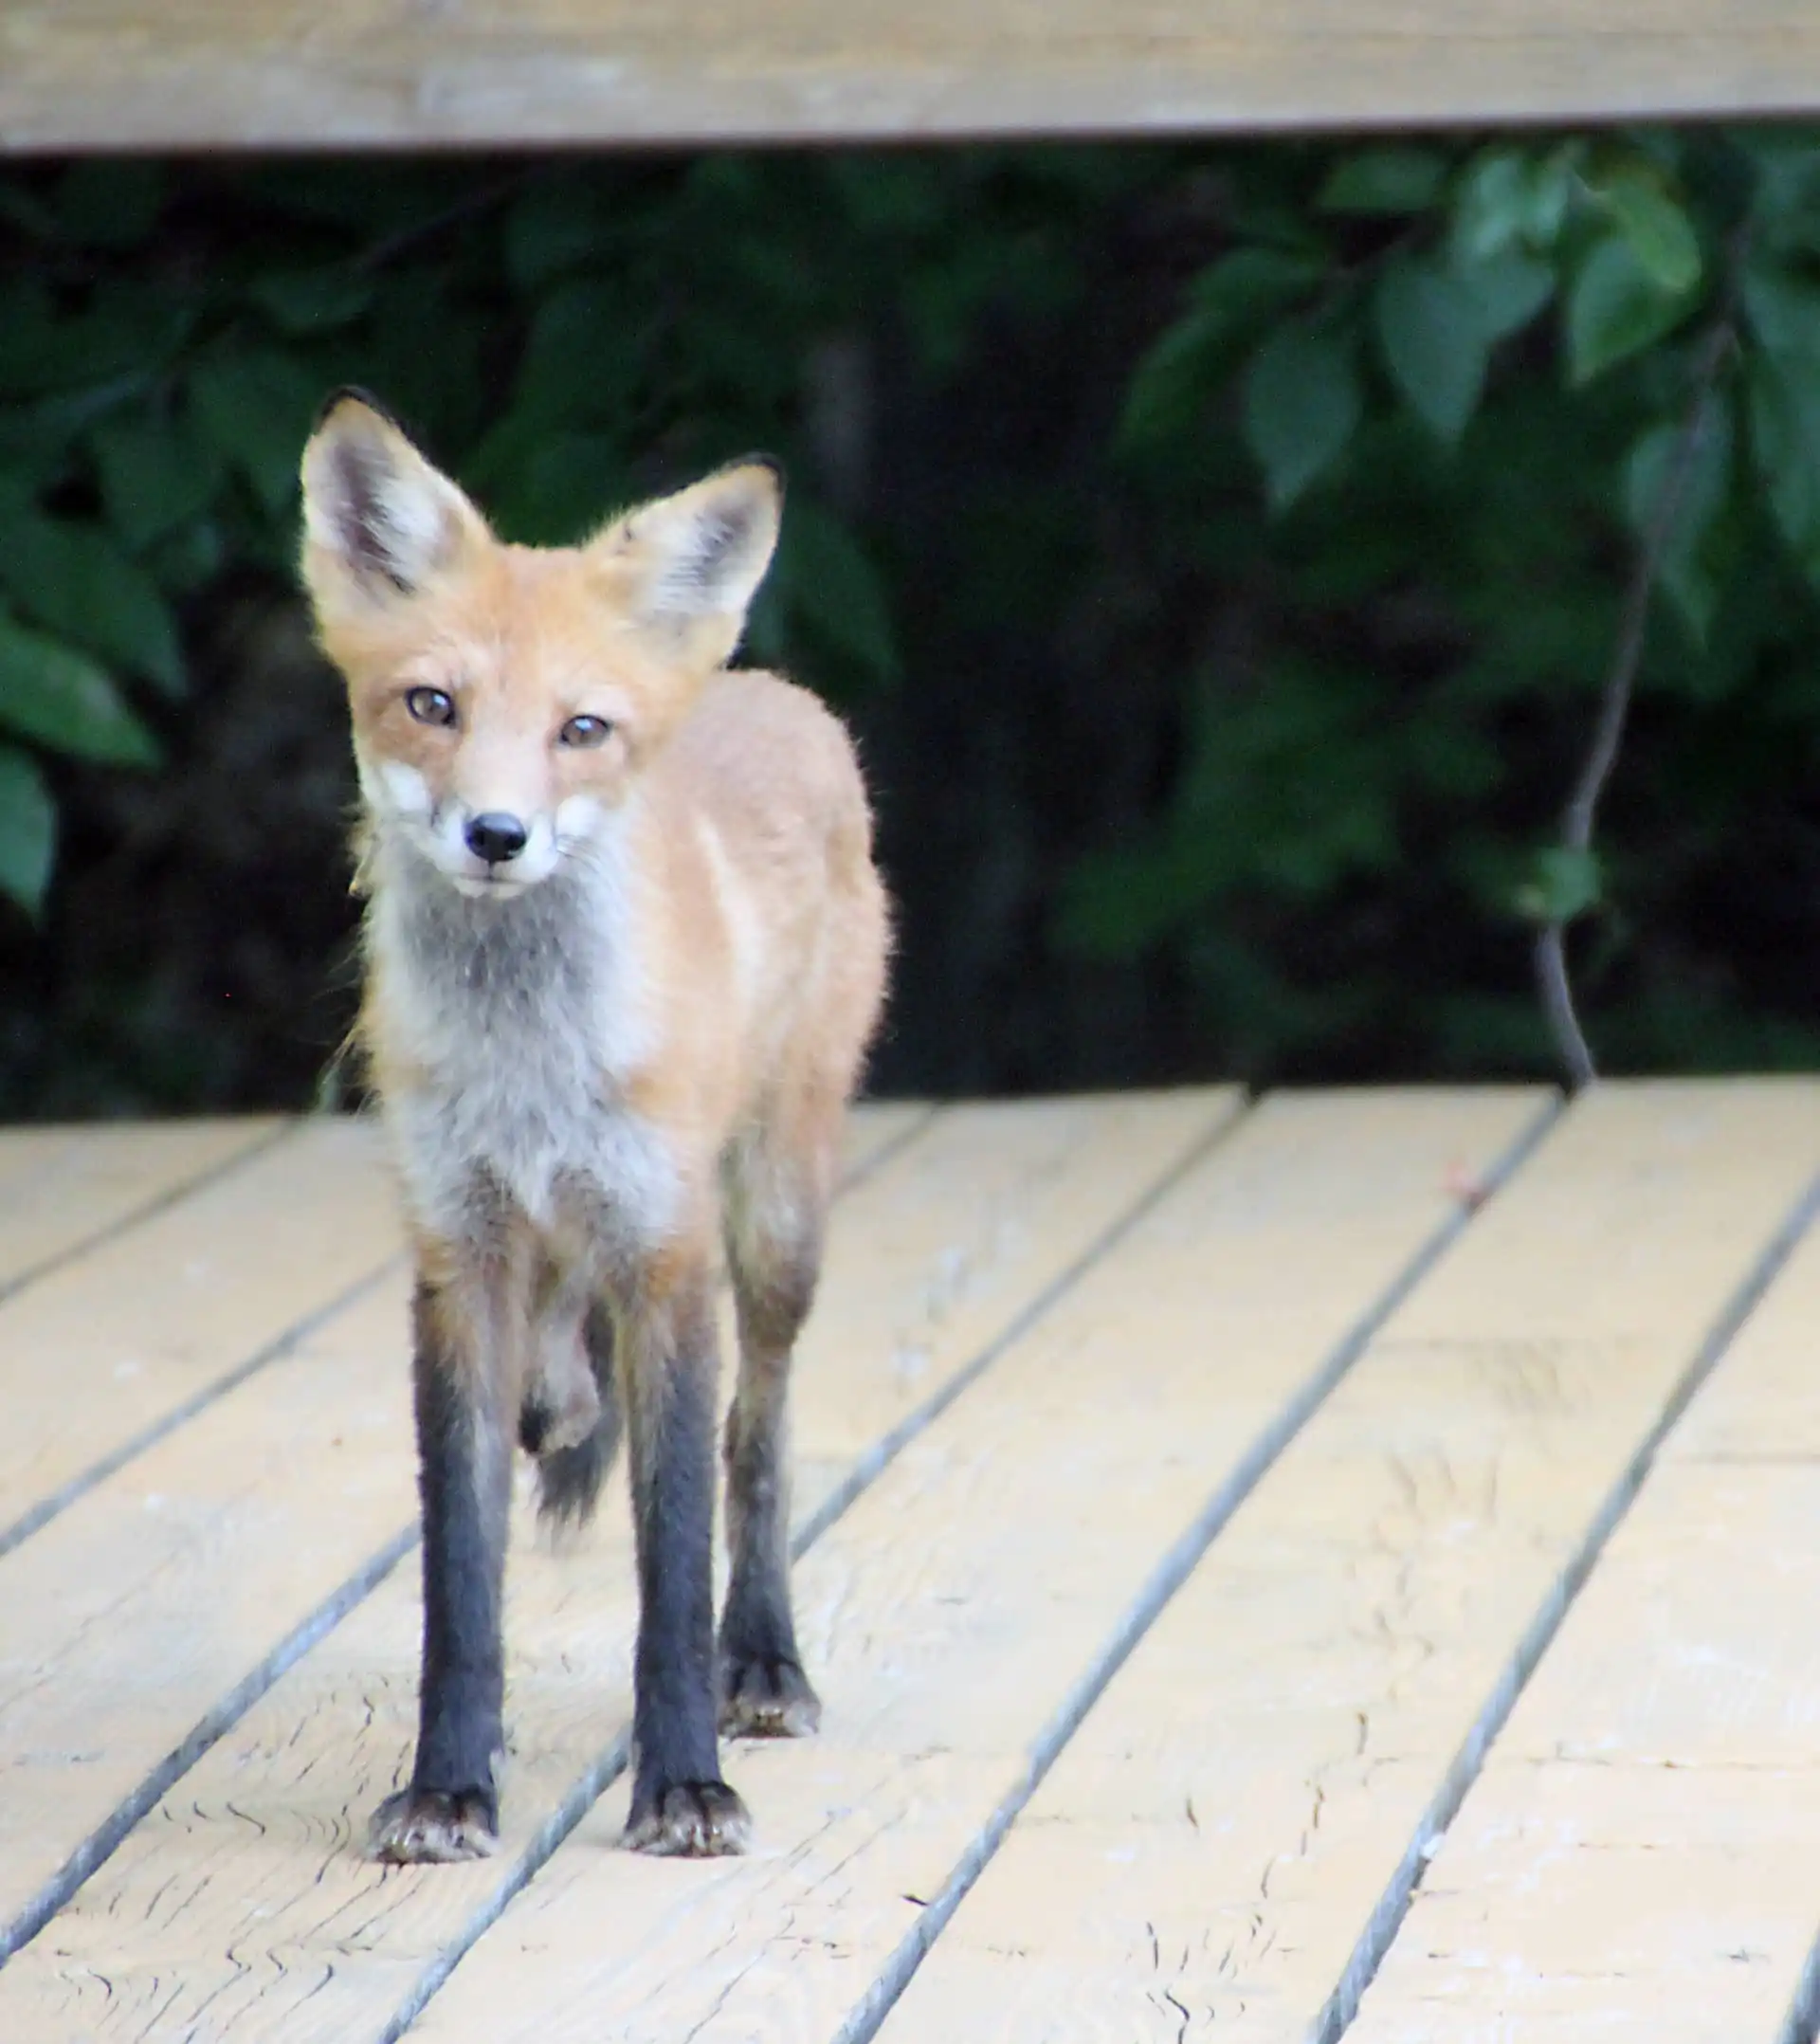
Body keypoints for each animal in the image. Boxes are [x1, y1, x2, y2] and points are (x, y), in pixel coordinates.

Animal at [298, 392, 890, 1863]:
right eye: (432, 706)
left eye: (582, 727)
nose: (497, 834)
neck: (531, 1068)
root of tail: (760, 684)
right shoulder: (458, 1257)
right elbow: (462, 1582)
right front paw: (448, 1783)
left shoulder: (668, 1255)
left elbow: (672, 1568)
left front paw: (682, 1782)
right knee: (564, 1377)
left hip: (775, 1217)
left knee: (755, 1437)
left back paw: (766, 1658)